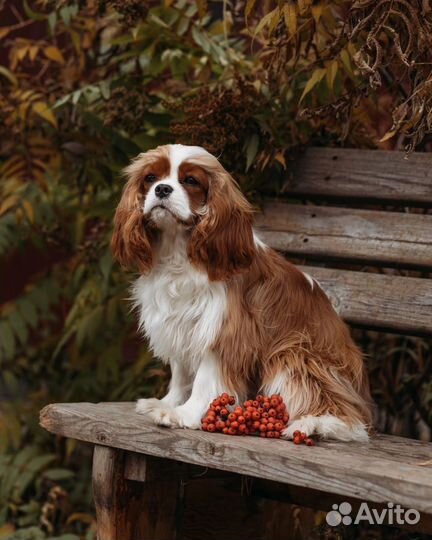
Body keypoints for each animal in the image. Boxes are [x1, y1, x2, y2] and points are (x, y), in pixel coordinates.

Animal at [113, 144, 372, 442]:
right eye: (150, 178)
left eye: (190, 181)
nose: (162, 189)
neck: (178, 249)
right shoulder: (178, 323)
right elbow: (181, 373)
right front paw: (168, 403)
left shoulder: (225, 329)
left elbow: (204, 379)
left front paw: (184, 414)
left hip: (297, 352)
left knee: (347, 418)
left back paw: (312, 424)